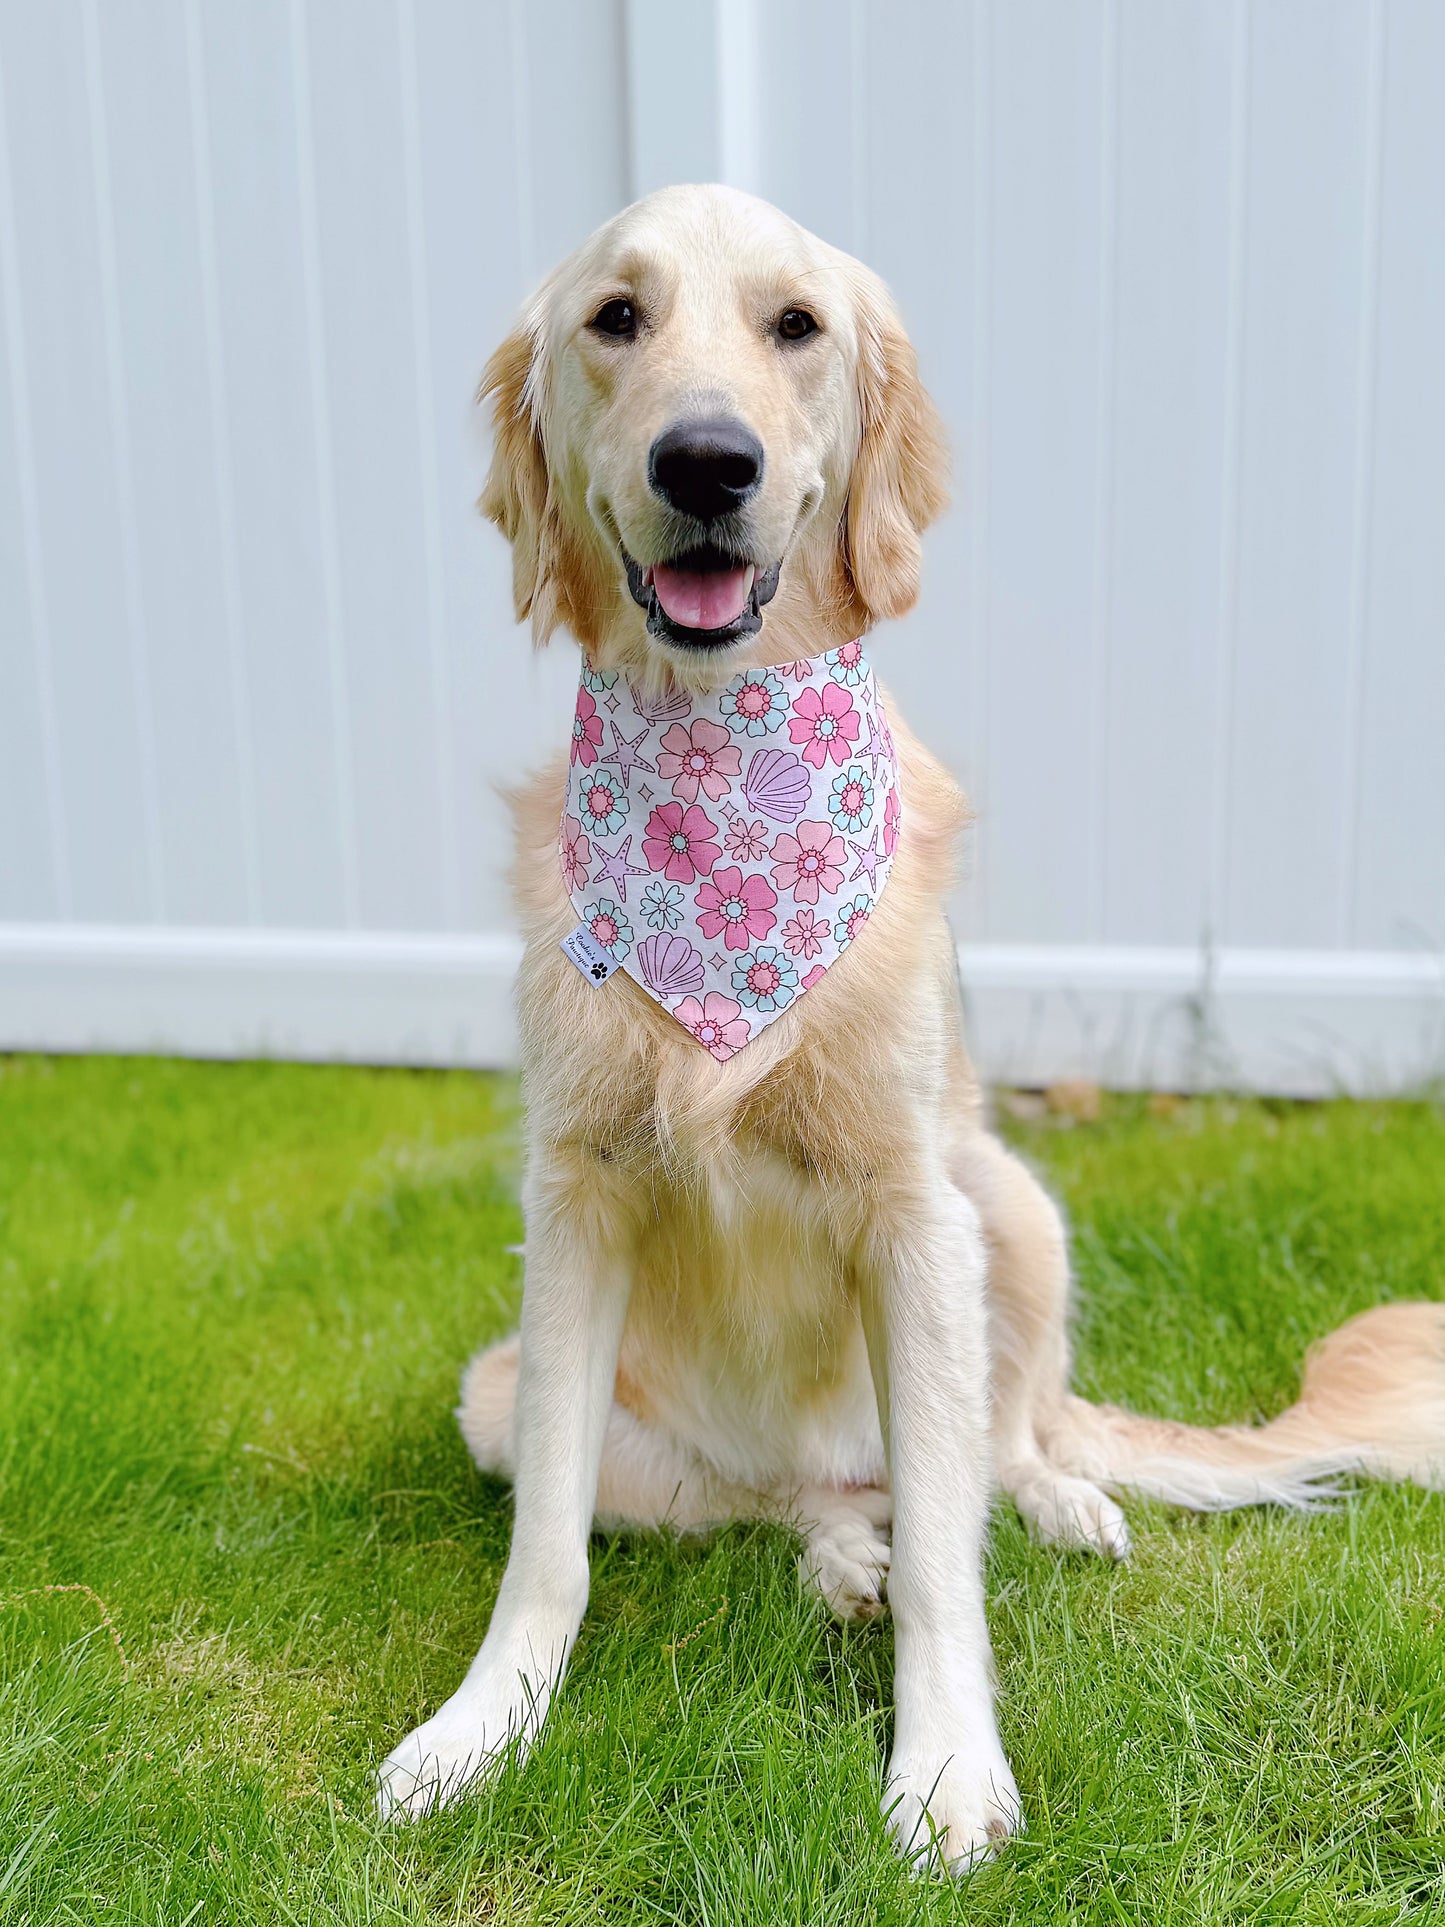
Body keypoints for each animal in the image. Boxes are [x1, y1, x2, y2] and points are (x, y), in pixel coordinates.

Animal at [381, 181, 1445, 1865]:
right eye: (616, 318)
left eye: (794, 326)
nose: (705, 461)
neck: (719, 799)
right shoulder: (571, 1205)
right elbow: (548, 1540)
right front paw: (483, 1726)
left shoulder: (913, 1212)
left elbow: (955, 1554)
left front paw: (945, 1765)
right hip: (507, 1385)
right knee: (792, 1497)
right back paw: (833, 1551)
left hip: (1015, 1206)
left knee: (997, 1449)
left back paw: (1052, 1501)